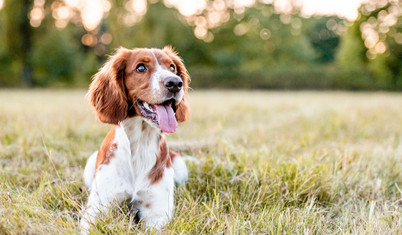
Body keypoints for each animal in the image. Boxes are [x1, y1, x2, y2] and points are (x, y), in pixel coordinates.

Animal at [81, 46, 191, 231]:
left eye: (172, 67)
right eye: (141, 68)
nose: (175, 83)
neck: (140, 143)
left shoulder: (157, 213)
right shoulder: (96, 208)